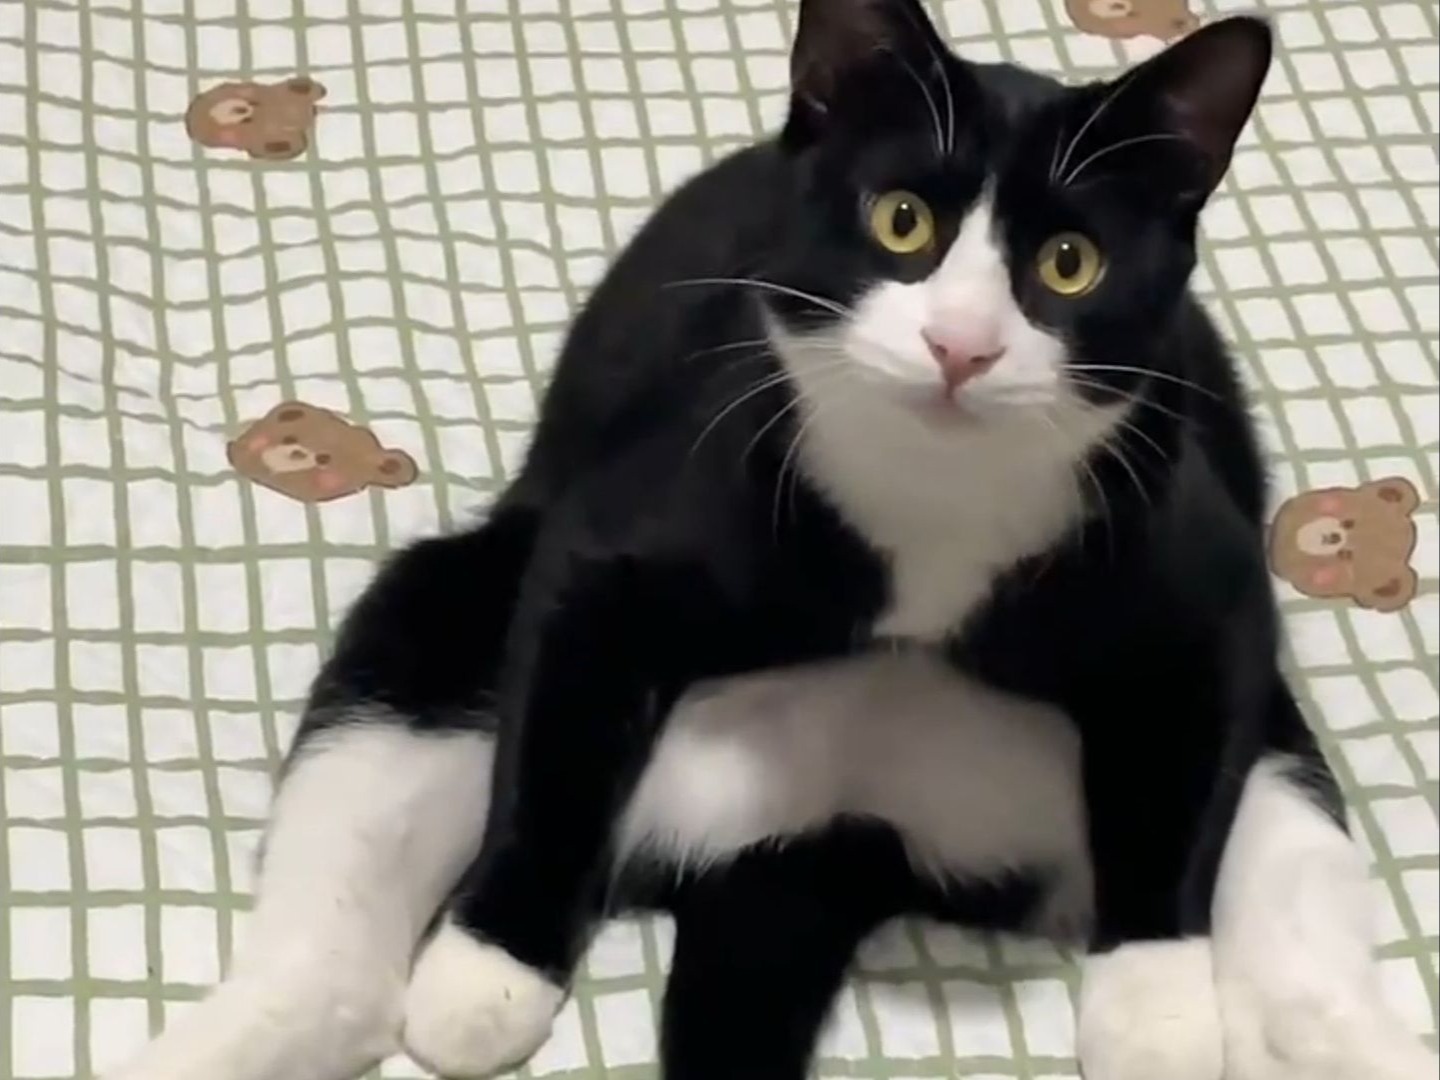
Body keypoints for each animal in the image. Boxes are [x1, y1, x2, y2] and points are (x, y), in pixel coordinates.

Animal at [104, 4, 1434, 1080]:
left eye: (1070, 263)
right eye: (901, 222)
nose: (961, 346)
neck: (932, 508)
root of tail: (838, 819)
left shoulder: (1207, 592)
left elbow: (1175, 804)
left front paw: (1154, 1011)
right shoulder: (613, 545)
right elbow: (555, 758)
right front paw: (490, 969)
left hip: (1267, 762)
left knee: (1291, 913)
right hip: (448, 610)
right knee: (340, 919)